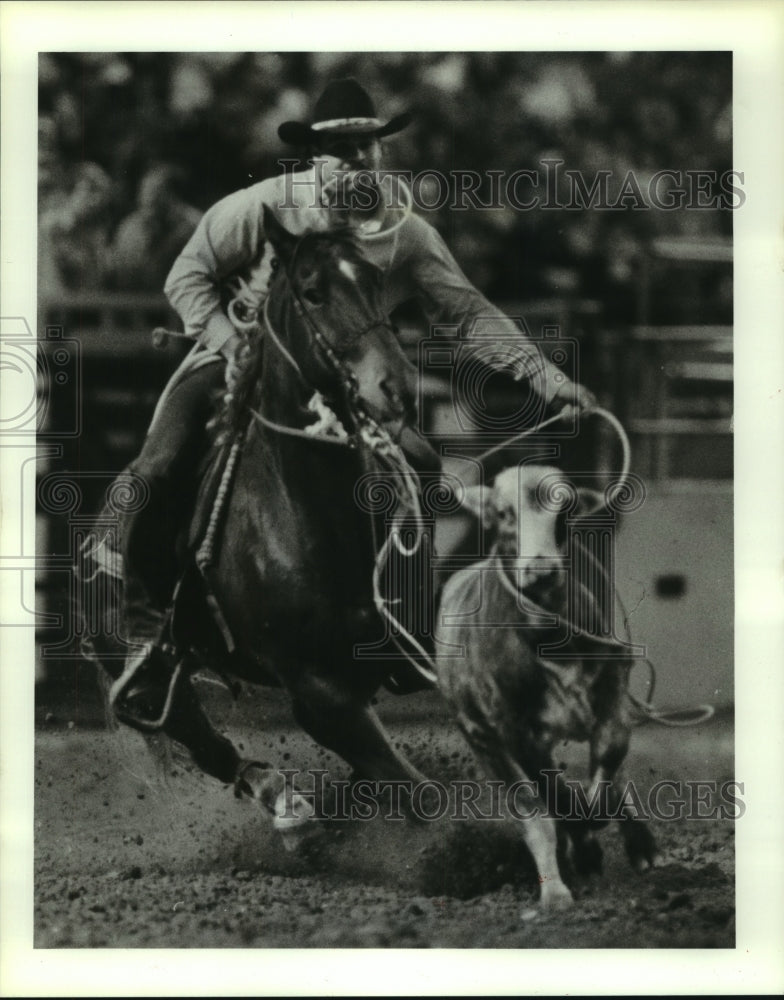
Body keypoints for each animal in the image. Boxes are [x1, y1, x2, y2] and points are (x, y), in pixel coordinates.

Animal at [438, 464, 660, 916]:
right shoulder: (512, 729)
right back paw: (557, 890)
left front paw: (608, 826)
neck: (545, 635)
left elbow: (611, 755)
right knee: (534, 813)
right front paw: (585, 845)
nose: (540, 570)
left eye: (566, 509)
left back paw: (639, 846)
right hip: (483, 741)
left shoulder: (612, 685)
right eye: (502, 513)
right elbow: (551, 798)